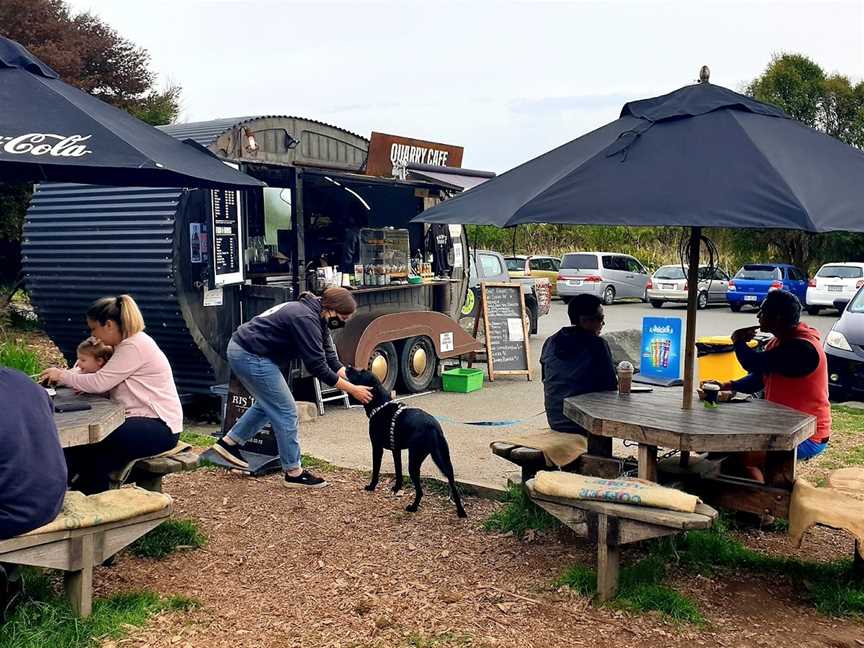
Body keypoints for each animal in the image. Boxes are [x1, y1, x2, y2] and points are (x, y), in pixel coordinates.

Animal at [346, 368, 470, 520]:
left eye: (360, 373)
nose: (348, 367)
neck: (379, 405)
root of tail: (433, 426)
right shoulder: (396, 450)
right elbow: (398, 470)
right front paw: (397, 488)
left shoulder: (377, 447)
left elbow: (376, 470)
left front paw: (372, 486)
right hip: (443, 460)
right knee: (453, 484)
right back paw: (461, 512)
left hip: (415, 460)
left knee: (420, 491)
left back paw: (413, 507)